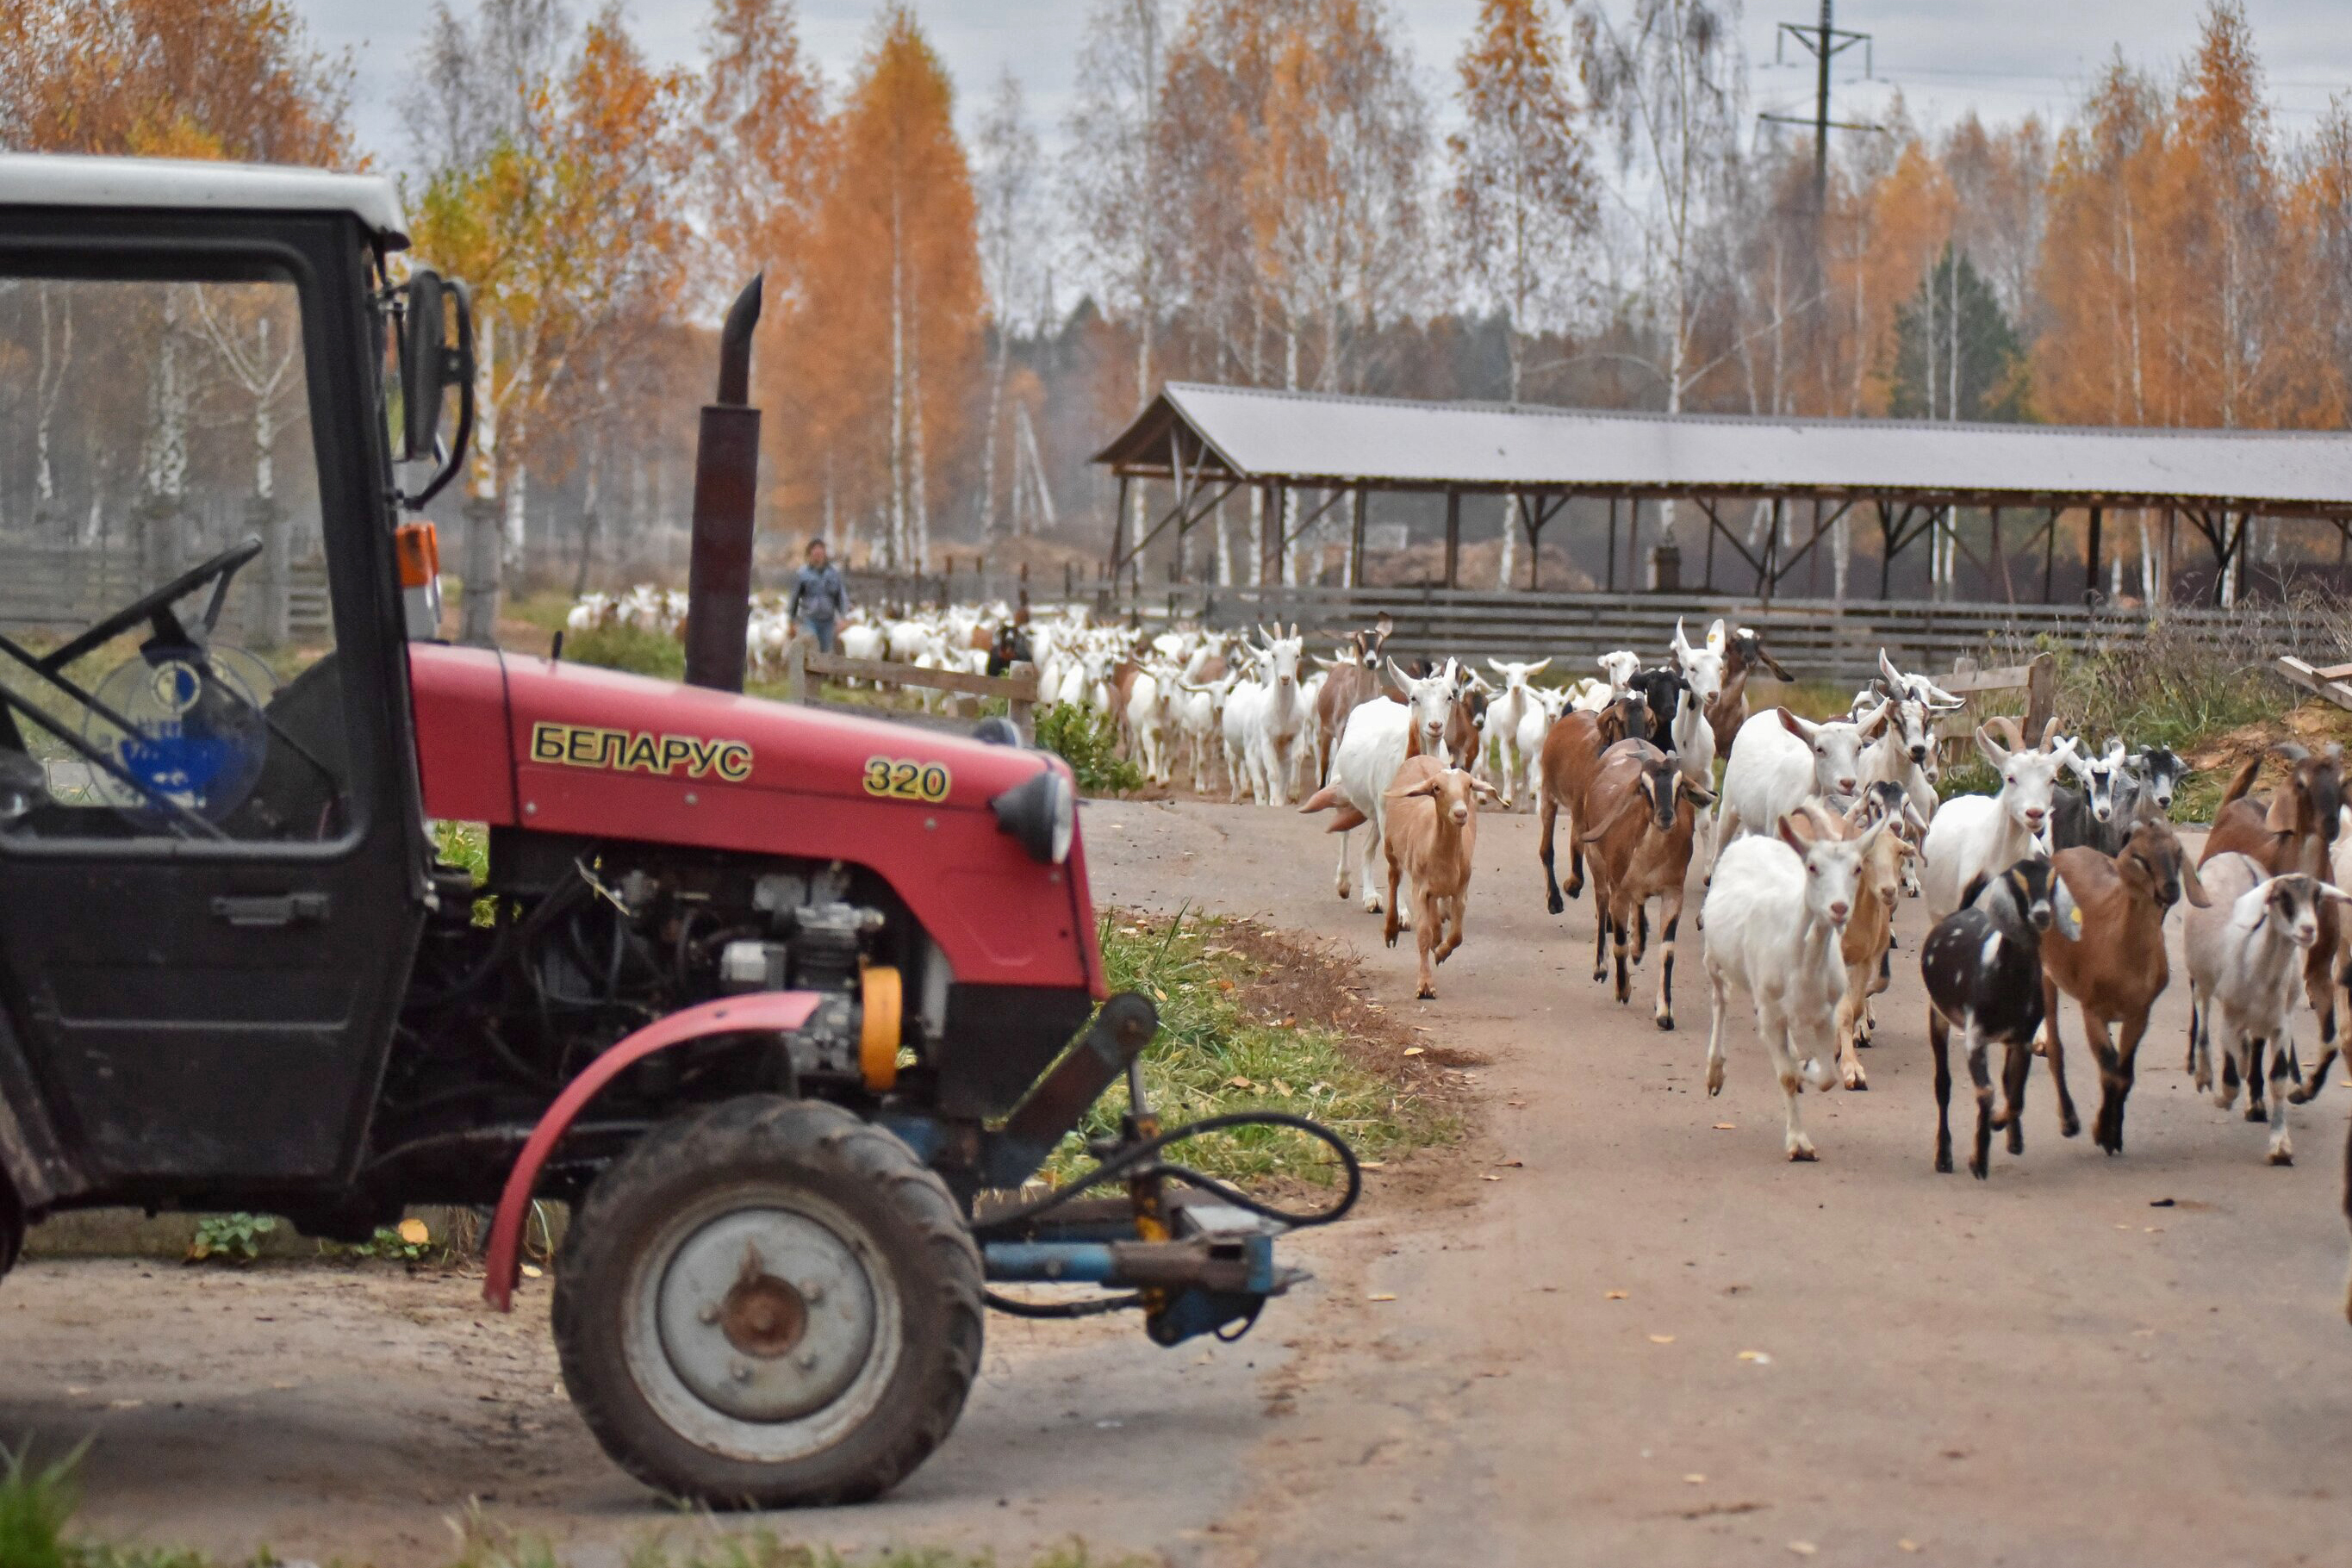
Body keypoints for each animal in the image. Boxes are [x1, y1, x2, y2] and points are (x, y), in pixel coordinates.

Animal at [1373, 756, 1505, 1001]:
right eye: (1436, 788)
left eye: (1469, 785)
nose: (1461, 813)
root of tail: (1419, 757)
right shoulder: (1419, 888)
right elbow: (1423, 935)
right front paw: (1425, 985)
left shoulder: (1461, 890)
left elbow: (1457, 936)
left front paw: (1441, 952)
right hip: (1390, 847)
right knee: (1394, 878)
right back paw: (1391, 930)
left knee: (1435, 907)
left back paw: (1437, 936)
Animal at [1533, 695, 1646, 912]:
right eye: (1618, 720)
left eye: (1648, 719)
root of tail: (1568, 715)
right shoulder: (1581, 814)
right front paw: (1572, 886)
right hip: (1549, 795)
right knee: (1546, 849)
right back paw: (1555, 899)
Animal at [1580, 747, 1712, 1030]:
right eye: (1644, 785)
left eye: (1679, 784)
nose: (1666, 817)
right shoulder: (1619, 891)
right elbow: (1618, 944)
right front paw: (1623, 990)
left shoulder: (1673, 893)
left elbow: (1667, 951)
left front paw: (1664, 1012)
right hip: (1595, 861)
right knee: (1601, 901)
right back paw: (1600, 967)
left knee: (1638, 904)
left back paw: (1638, 947)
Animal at [2041, 808, 2201, 1152]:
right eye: (2139, 856)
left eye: (2177, 852)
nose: (2170, 889)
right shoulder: (2092, 1009)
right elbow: (2108, 1068)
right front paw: (2101, 1131)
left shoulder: (2140, 1012)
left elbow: (2124, 1074)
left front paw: (2113, 1134)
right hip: (2045, 972)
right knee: (2056, 1047)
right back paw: (2069, 1121)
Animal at [2192, 743, 2343, 1086]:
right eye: (2301, 783)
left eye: (2342, 781)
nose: (2331, 824)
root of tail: (2233, 803)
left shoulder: (2319, 966)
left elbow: (2329, 1041)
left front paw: (2304, 1085)